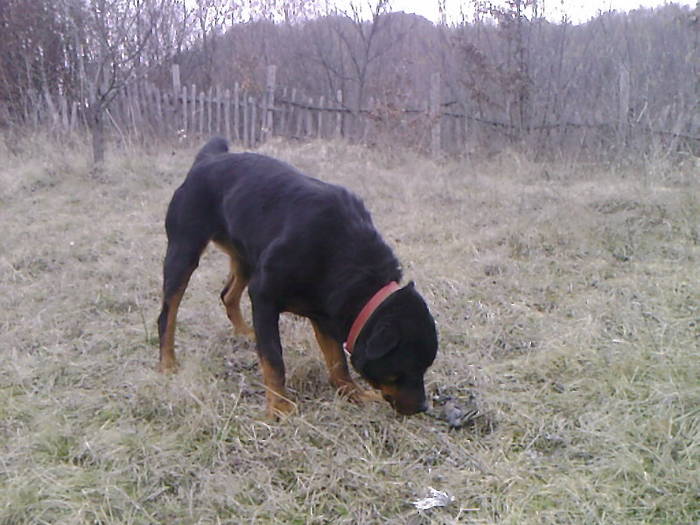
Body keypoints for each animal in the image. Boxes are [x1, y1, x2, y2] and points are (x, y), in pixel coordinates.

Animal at [157, 137, 438, 416]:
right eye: (407, 368)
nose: (423, 407)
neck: (342, 252)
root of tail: (208, 159)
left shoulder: (324, 314)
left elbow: (337, 361)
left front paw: (352, 392)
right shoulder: (264, 296)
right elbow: (273, 358)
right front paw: (279, 405)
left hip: (246, 257)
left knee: (228, 294)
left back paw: (244, 332)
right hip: (184, 251)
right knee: (167, 315)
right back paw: (168, 363)